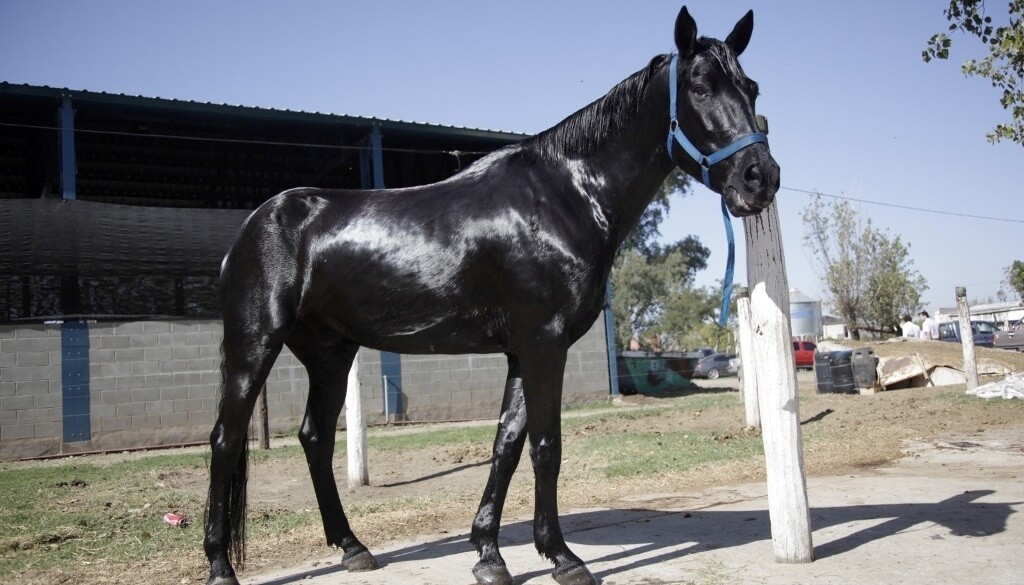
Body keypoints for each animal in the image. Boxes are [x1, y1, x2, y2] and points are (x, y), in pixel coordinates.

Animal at [203, 6, 779, 585]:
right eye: (700, 87)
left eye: (752, 87)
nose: (761, 178)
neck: (566, 197)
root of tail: (252, 227)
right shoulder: (545, 343)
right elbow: (546, 447)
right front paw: (562, 557)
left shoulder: (522, 351)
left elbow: (506, 444)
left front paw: (488, 555)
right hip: (254, 346)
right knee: (225, 441)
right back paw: (220, 565)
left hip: (329, 353)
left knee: (315, 439)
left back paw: (352, 547)